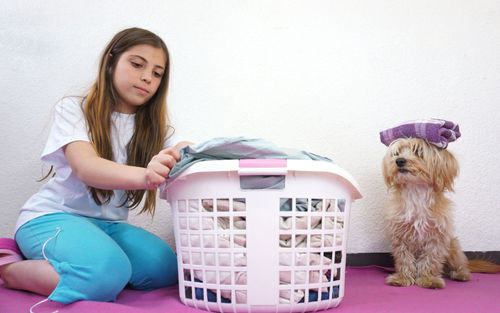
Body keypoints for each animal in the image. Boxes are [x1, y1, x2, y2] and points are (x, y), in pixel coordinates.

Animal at [382, 138, 496, 288]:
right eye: (396, 153)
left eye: (418, 151)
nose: (399, 160)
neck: (416, 193)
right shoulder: (400, 236)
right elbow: (404, 259)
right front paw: (403, 277)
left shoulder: (436, 238)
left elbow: (430, 260)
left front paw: (429, 279)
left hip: (453, 247)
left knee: (460, 265)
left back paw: (460, 274)